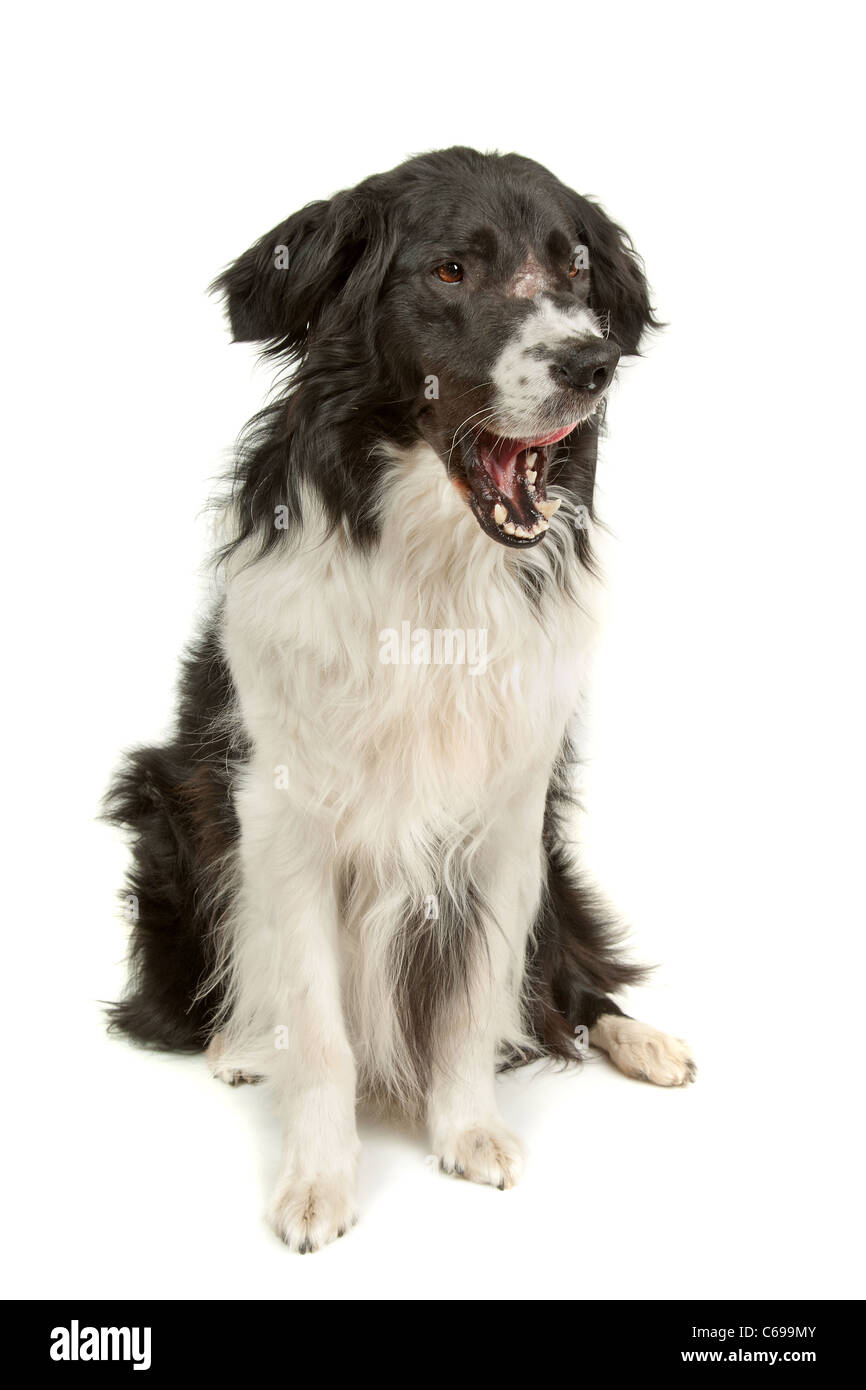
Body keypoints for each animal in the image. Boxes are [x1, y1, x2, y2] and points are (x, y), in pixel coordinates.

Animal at [104, 146, 695, 1256]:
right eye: (452, 269)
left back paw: (642, 1040)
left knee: (569, 978)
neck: (434, 574)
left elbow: (472, 998)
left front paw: (468, 1131)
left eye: (578, 264)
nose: (590, 363)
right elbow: (319, 1027)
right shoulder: (282, 814)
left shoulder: (510, 813)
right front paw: (316, 1184)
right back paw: (238, 1041)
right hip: (172, 803)